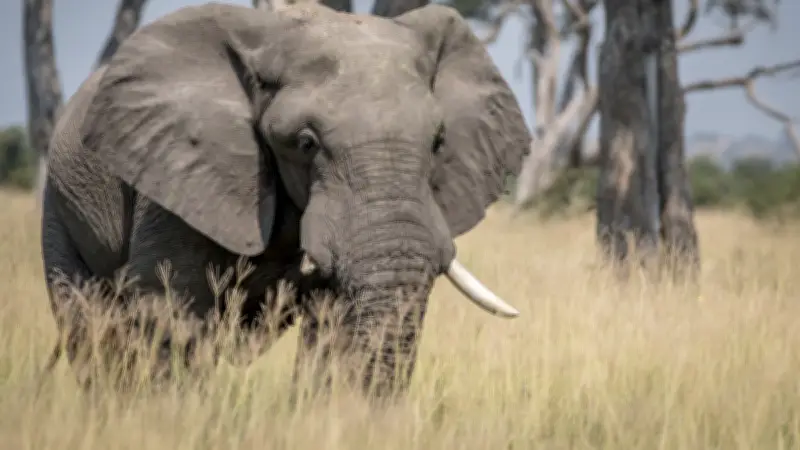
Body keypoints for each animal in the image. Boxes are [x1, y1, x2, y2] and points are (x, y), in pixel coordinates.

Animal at [40, 1, 531, 398]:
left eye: (438, 142)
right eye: (305, 143)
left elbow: (332, 321)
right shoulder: (174, 177)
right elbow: (172, 308)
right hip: (60, 205)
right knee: (89, 324)